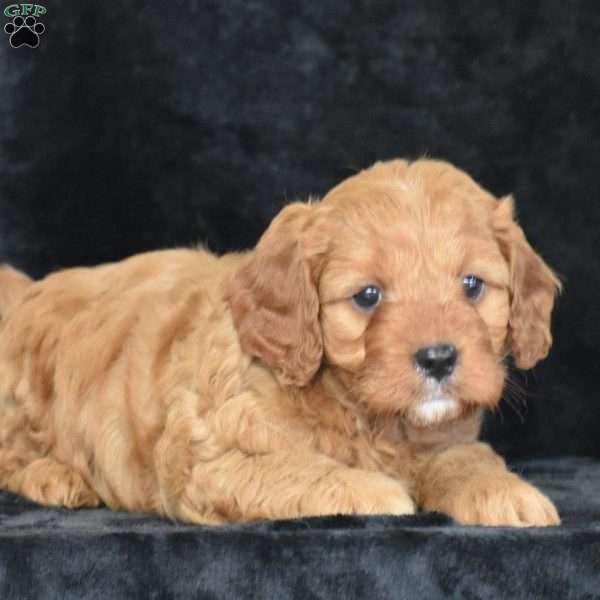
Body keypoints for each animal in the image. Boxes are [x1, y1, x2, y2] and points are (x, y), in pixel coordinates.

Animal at [0, 158, 564, 524]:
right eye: (368, 296)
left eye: (472, 286)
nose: (440, 358)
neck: (367, 418)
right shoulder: (209, 462)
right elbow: (301, 472)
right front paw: (376, 491)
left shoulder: (445, 437)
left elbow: (467, 458)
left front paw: (507, 493)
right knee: (11, 457)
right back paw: (57, 477)